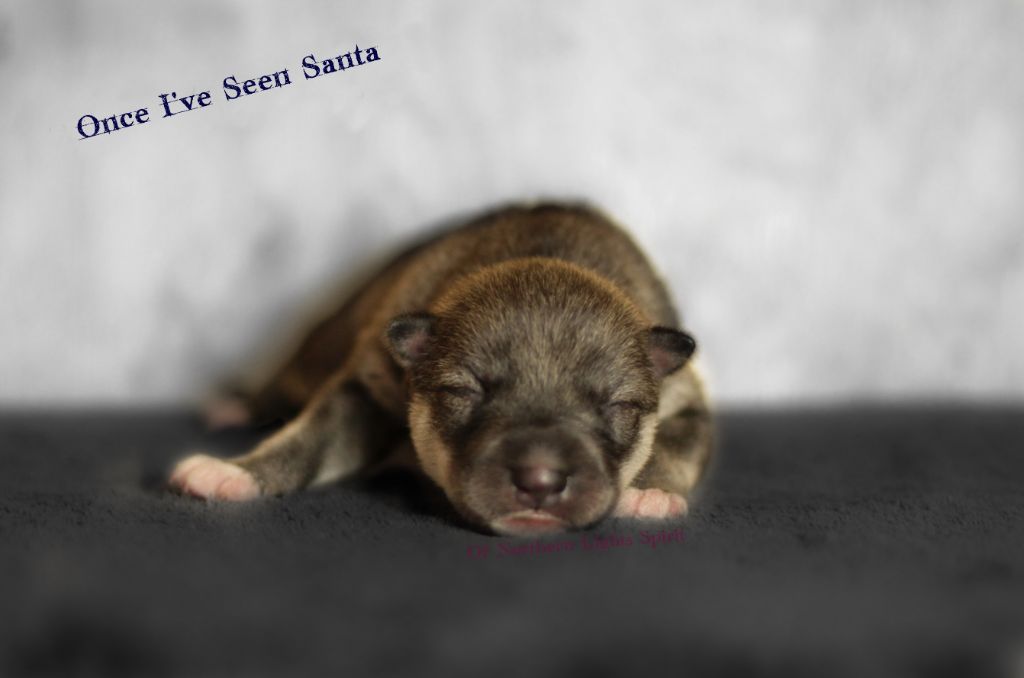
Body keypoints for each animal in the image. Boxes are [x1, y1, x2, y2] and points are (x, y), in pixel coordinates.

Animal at [169, 203, 713, 536]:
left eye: (616, 405)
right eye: (465, 393)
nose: (539, 480)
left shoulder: (687, 398)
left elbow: (675, 444)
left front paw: (650, 493)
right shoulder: (367, 385)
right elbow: (312, 436)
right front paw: (236, 473)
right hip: (317, 346)